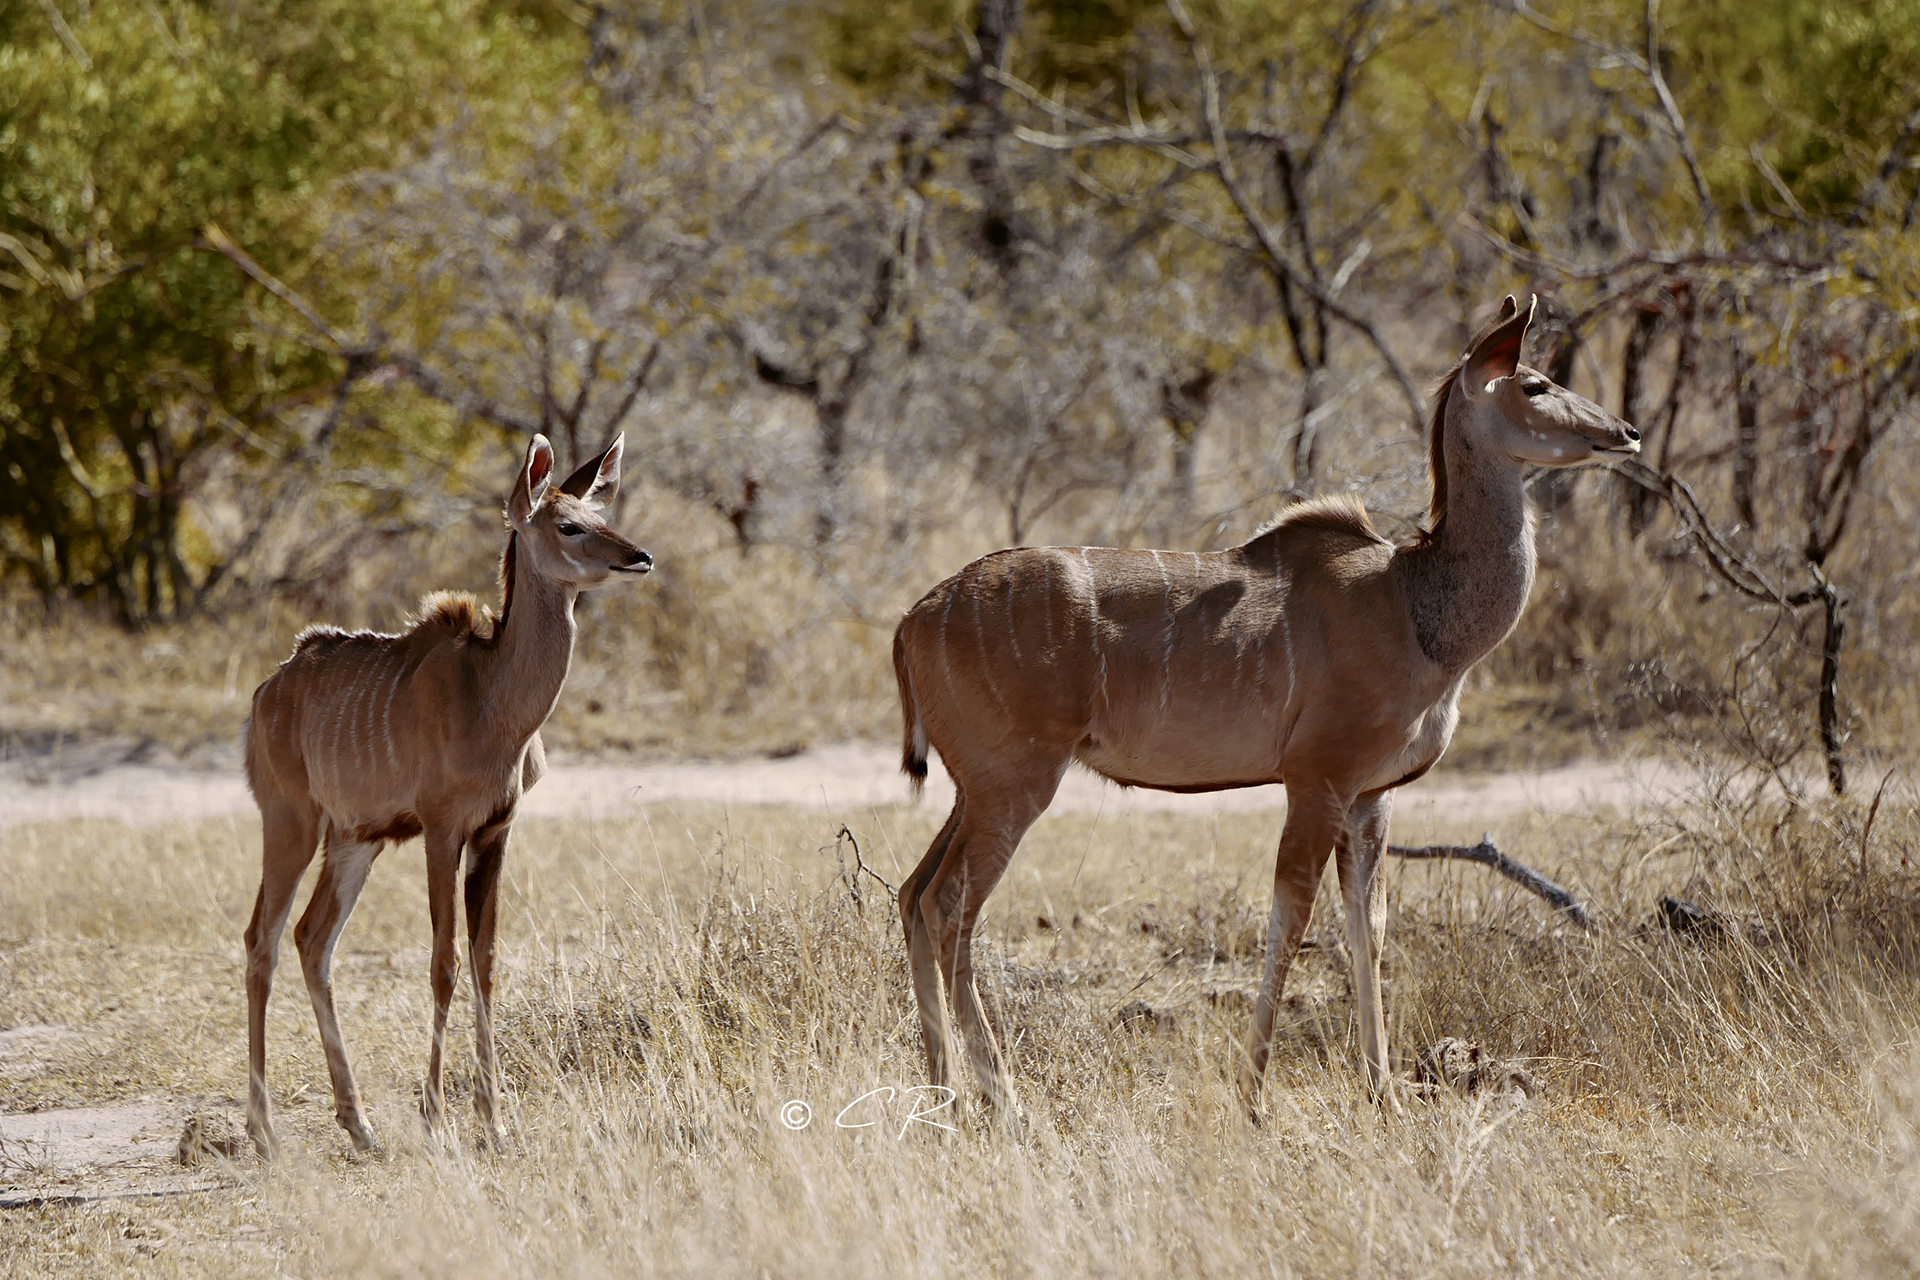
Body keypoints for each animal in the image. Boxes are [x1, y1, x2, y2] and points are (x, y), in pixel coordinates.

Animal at [243, 435, 652, 1159]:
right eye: (568, 526)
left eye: (598, 512)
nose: (639, 557)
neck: (490, 698)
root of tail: (267, 692)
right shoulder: (441, 829)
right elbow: (443, 962)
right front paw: (437, 1119)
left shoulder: (496, 830)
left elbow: (486, 960)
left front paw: (495, 1120)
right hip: (291, 823)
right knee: (260, 940)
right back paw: (264, 1133)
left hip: (354, 840)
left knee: (311, 938)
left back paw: (361, 1126)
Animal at [894, 293, 1635, 1113]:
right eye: (1533, 383)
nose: (1626, 433)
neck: (1416, 606)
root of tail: (913, 620)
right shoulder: (1317, 779)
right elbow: (1291, 916)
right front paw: (1253, 1094)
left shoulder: (1370, 796)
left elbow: (1368, 926)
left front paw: (1383, 1091)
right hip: (1015, 785)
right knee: (948, 904)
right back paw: (1002, 1101)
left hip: (975, 790)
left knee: (912, 893)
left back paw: (942, 1091)